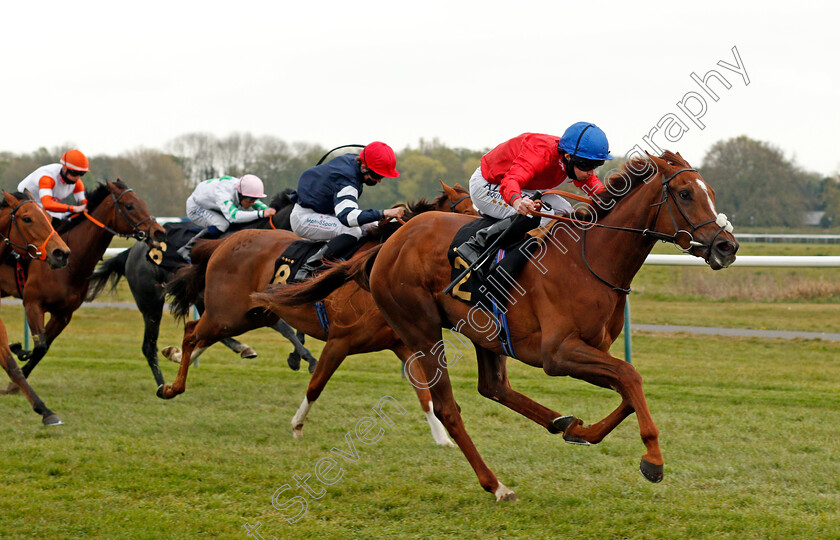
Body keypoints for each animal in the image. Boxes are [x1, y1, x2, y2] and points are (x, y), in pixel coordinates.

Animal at [0, 181, 166, 396]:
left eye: (142, 202)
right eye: (129, 206)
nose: (159, 231)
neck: (72, 265)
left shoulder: (63, 314)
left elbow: (42, 348)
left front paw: (14, 383)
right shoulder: (32, 303)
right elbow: (39, 343)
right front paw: (17, 350)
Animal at [156, 184, 472, 446]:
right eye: (468, 212)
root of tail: (224, 243)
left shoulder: (402, 344)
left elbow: (425, 394)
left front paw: (442, 438)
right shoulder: (340, 341)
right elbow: (315, 386)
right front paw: (297, 425)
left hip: (252, 314)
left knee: (204, 336)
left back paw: (178, 359)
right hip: (228, 312)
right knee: (192, 332)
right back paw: (171, 387)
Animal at [253, 150, 740, 500]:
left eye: (711, 191)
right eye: (685, 194)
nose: (727, 246)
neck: (589, 260)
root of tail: (390, 242)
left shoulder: (590, 350)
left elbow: (626, 387)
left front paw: (582, 431)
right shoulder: (558, 354)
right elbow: (630, 376)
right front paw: (653, 459)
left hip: (482, 331)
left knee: (494, 387)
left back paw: (559, 424)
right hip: (420, 328)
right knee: (448, 407)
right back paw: (496, 484)